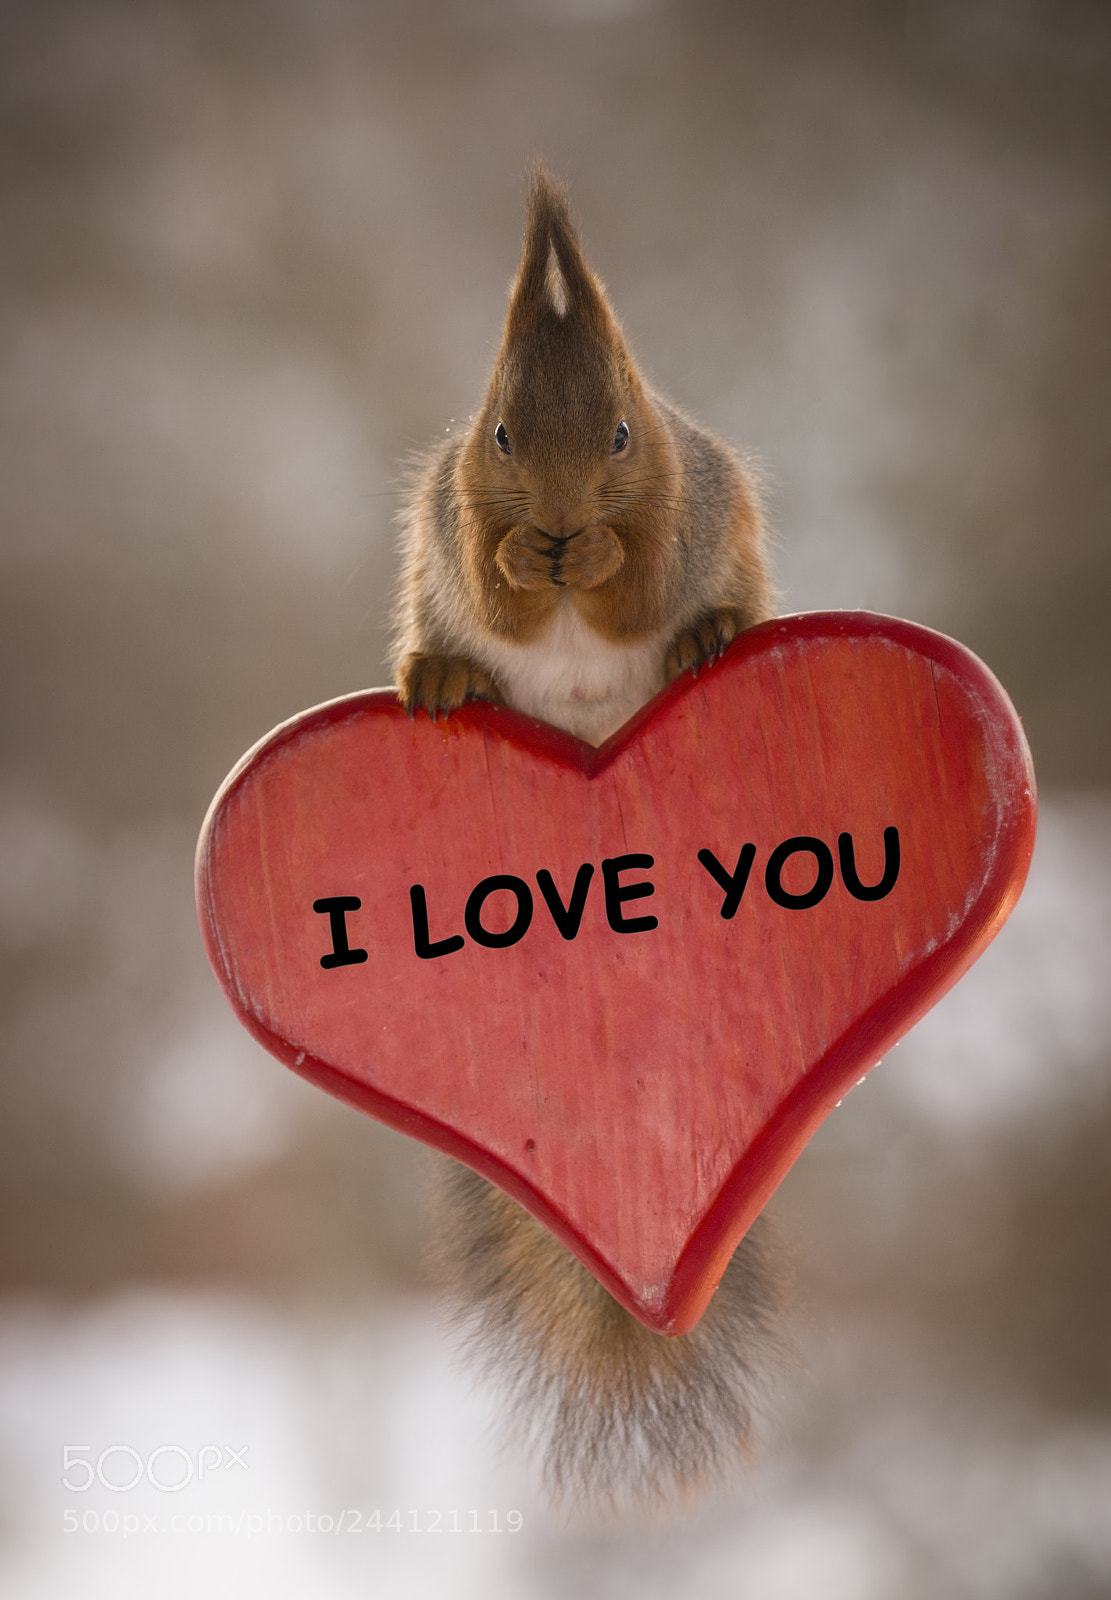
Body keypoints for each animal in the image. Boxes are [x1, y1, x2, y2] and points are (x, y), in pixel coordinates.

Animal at [390, 167, 786, 1514]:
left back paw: (708, 636)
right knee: (451, 632)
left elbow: (638, 573)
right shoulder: (455, 505)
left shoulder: (681, 499)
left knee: (697, 610)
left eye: (620, 433)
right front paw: (526, 556)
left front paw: (600, 556)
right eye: (502, 433)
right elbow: (495, 580)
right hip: (424, 589)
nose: (561, 520)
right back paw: (439, 674)